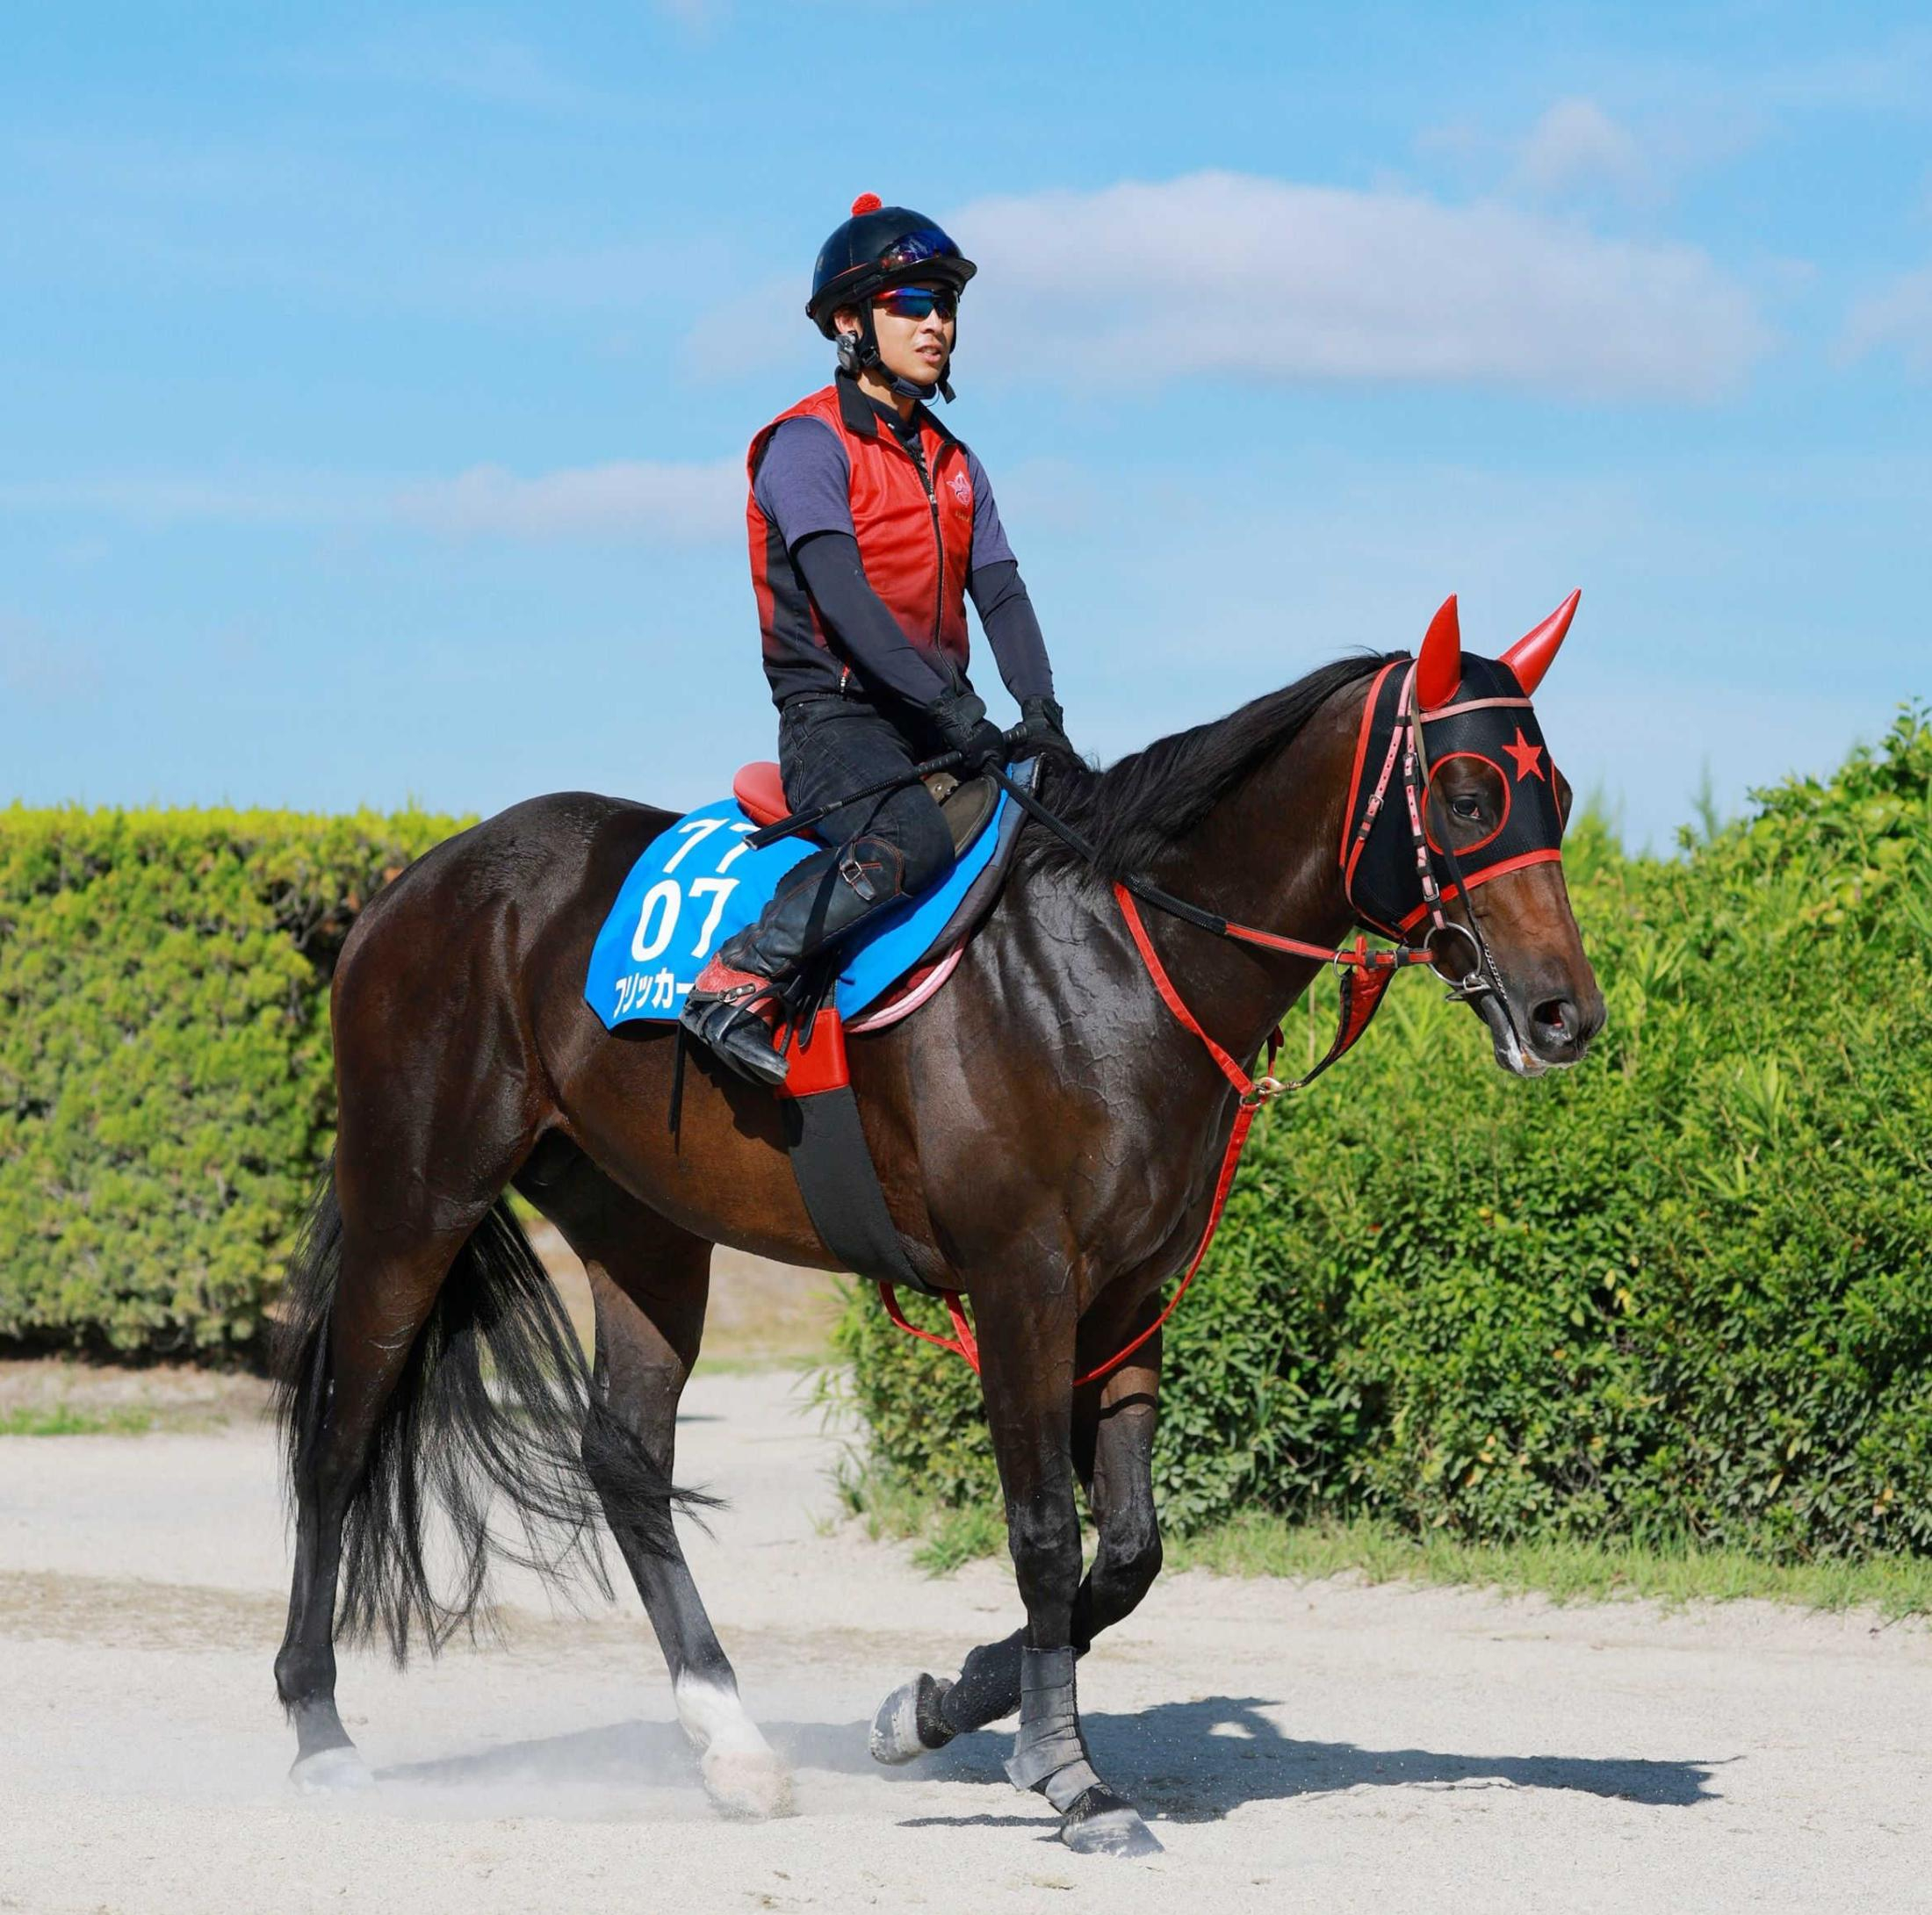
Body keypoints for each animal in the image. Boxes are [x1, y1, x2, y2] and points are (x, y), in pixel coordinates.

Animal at [271, 592, 1603, 1858]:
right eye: (1466, 793)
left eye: (1560, 795)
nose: (1565, 1015)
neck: (1116, 961)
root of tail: (407, 887)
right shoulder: (1024, 1287)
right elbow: (1047, 1535)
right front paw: (1067, 1774)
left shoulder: (1128, 1301)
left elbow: (1131, 1550)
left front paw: (930, 1709)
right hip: (415, 1198)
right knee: (338, 1441)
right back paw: (319, 1728)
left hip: (645, 1229)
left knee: (626, 1459)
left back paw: (731, 1742)